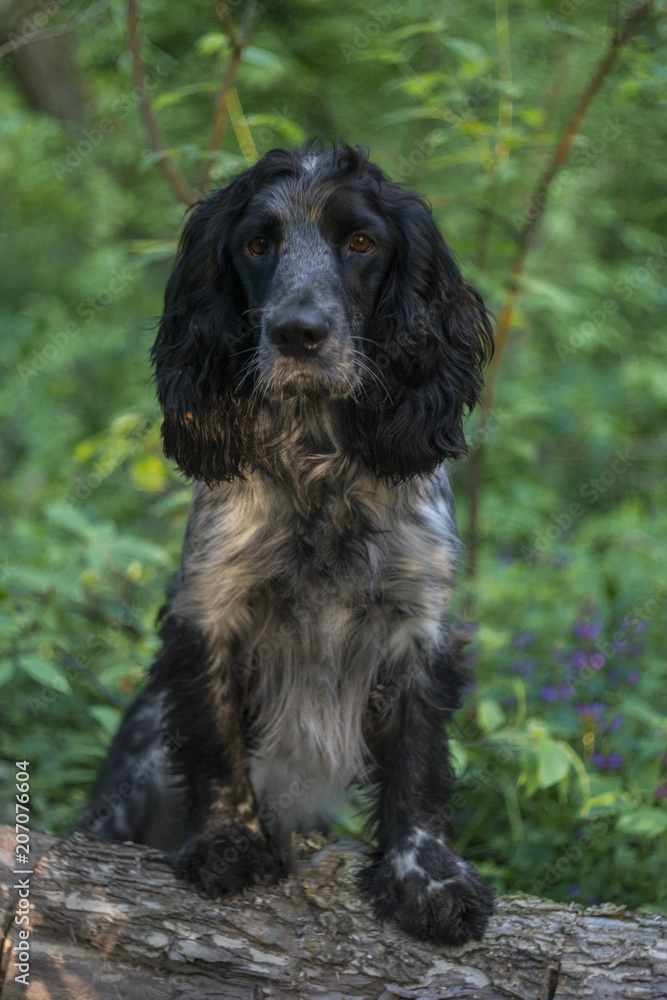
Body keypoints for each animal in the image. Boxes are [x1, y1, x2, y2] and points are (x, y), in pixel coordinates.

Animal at [82, 141, 496, 944]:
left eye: (361, 241)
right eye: (255, 244)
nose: (298, 333)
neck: (316, 466)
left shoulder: (416, 623)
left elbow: (417, 763)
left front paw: (426, 879)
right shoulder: (209, 610)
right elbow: (215, 743)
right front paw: (228, 845)